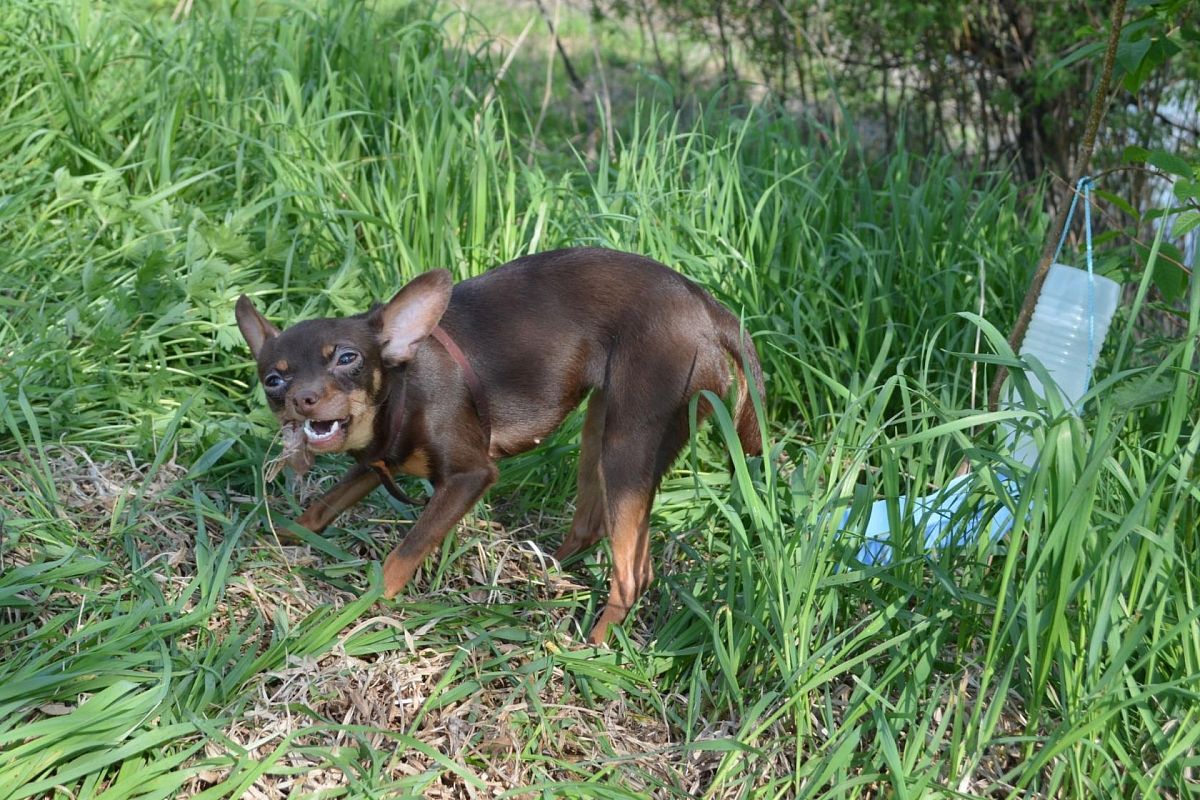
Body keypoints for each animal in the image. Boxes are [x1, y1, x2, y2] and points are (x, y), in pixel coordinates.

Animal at [237, 247, 763, 642]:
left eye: (347, 358)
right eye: (273, 379)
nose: (303, 399)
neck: (403, 389)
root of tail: (707, 307)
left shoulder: (470, 476)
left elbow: (401, 555)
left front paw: (364, 607)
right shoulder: (373, 465)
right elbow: (318, 511)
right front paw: (266, 542)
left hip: (627, 445)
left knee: (631, 575)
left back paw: (592, 646)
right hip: (604, 431)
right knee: (608, 537)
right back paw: (546, 573)